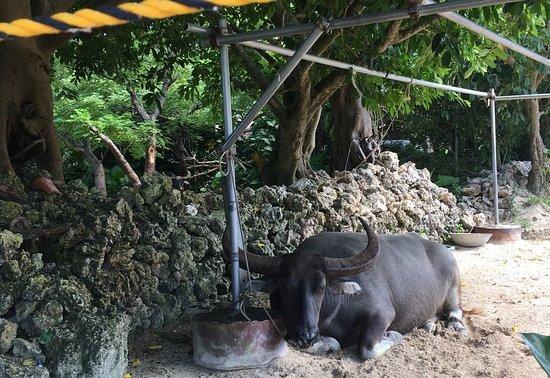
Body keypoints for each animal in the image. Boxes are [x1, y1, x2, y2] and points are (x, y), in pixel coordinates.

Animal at [231, 219, 468, 358]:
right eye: (286, 287)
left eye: (321, 286)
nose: (306, 335)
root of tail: (441, 248)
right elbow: (331, 344)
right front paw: (328, 342)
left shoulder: (383, 313)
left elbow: (367, 349)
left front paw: (393, 335)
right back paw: (428, 324)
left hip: (454, 286)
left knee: (455, 310)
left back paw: (457, 326)